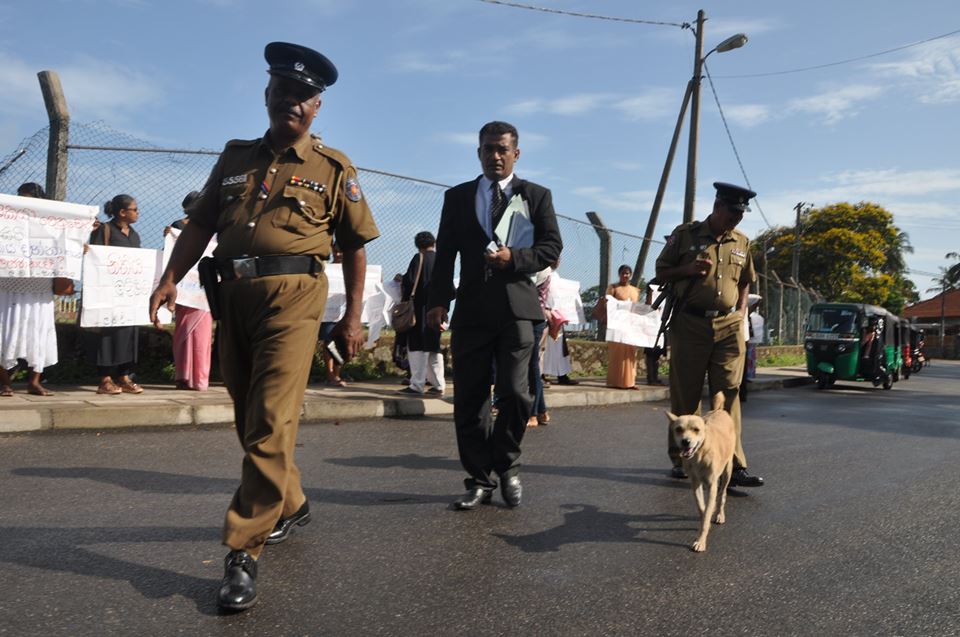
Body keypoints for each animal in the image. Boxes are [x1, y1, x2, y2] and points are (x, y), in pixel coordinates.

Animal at [668, 390, 736, 548]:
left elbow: (708, 512)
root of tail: (720, 410)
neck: (699, 456)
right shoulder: (695, 484)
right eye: (678, 429)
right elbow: (702, 508)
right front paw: (705, 515)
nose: (685, 441)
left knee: (722, 494)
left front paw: (701, 541)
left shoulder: (712, 486)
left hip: (727, 470)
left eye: (696, 430)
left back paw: (719, 514)